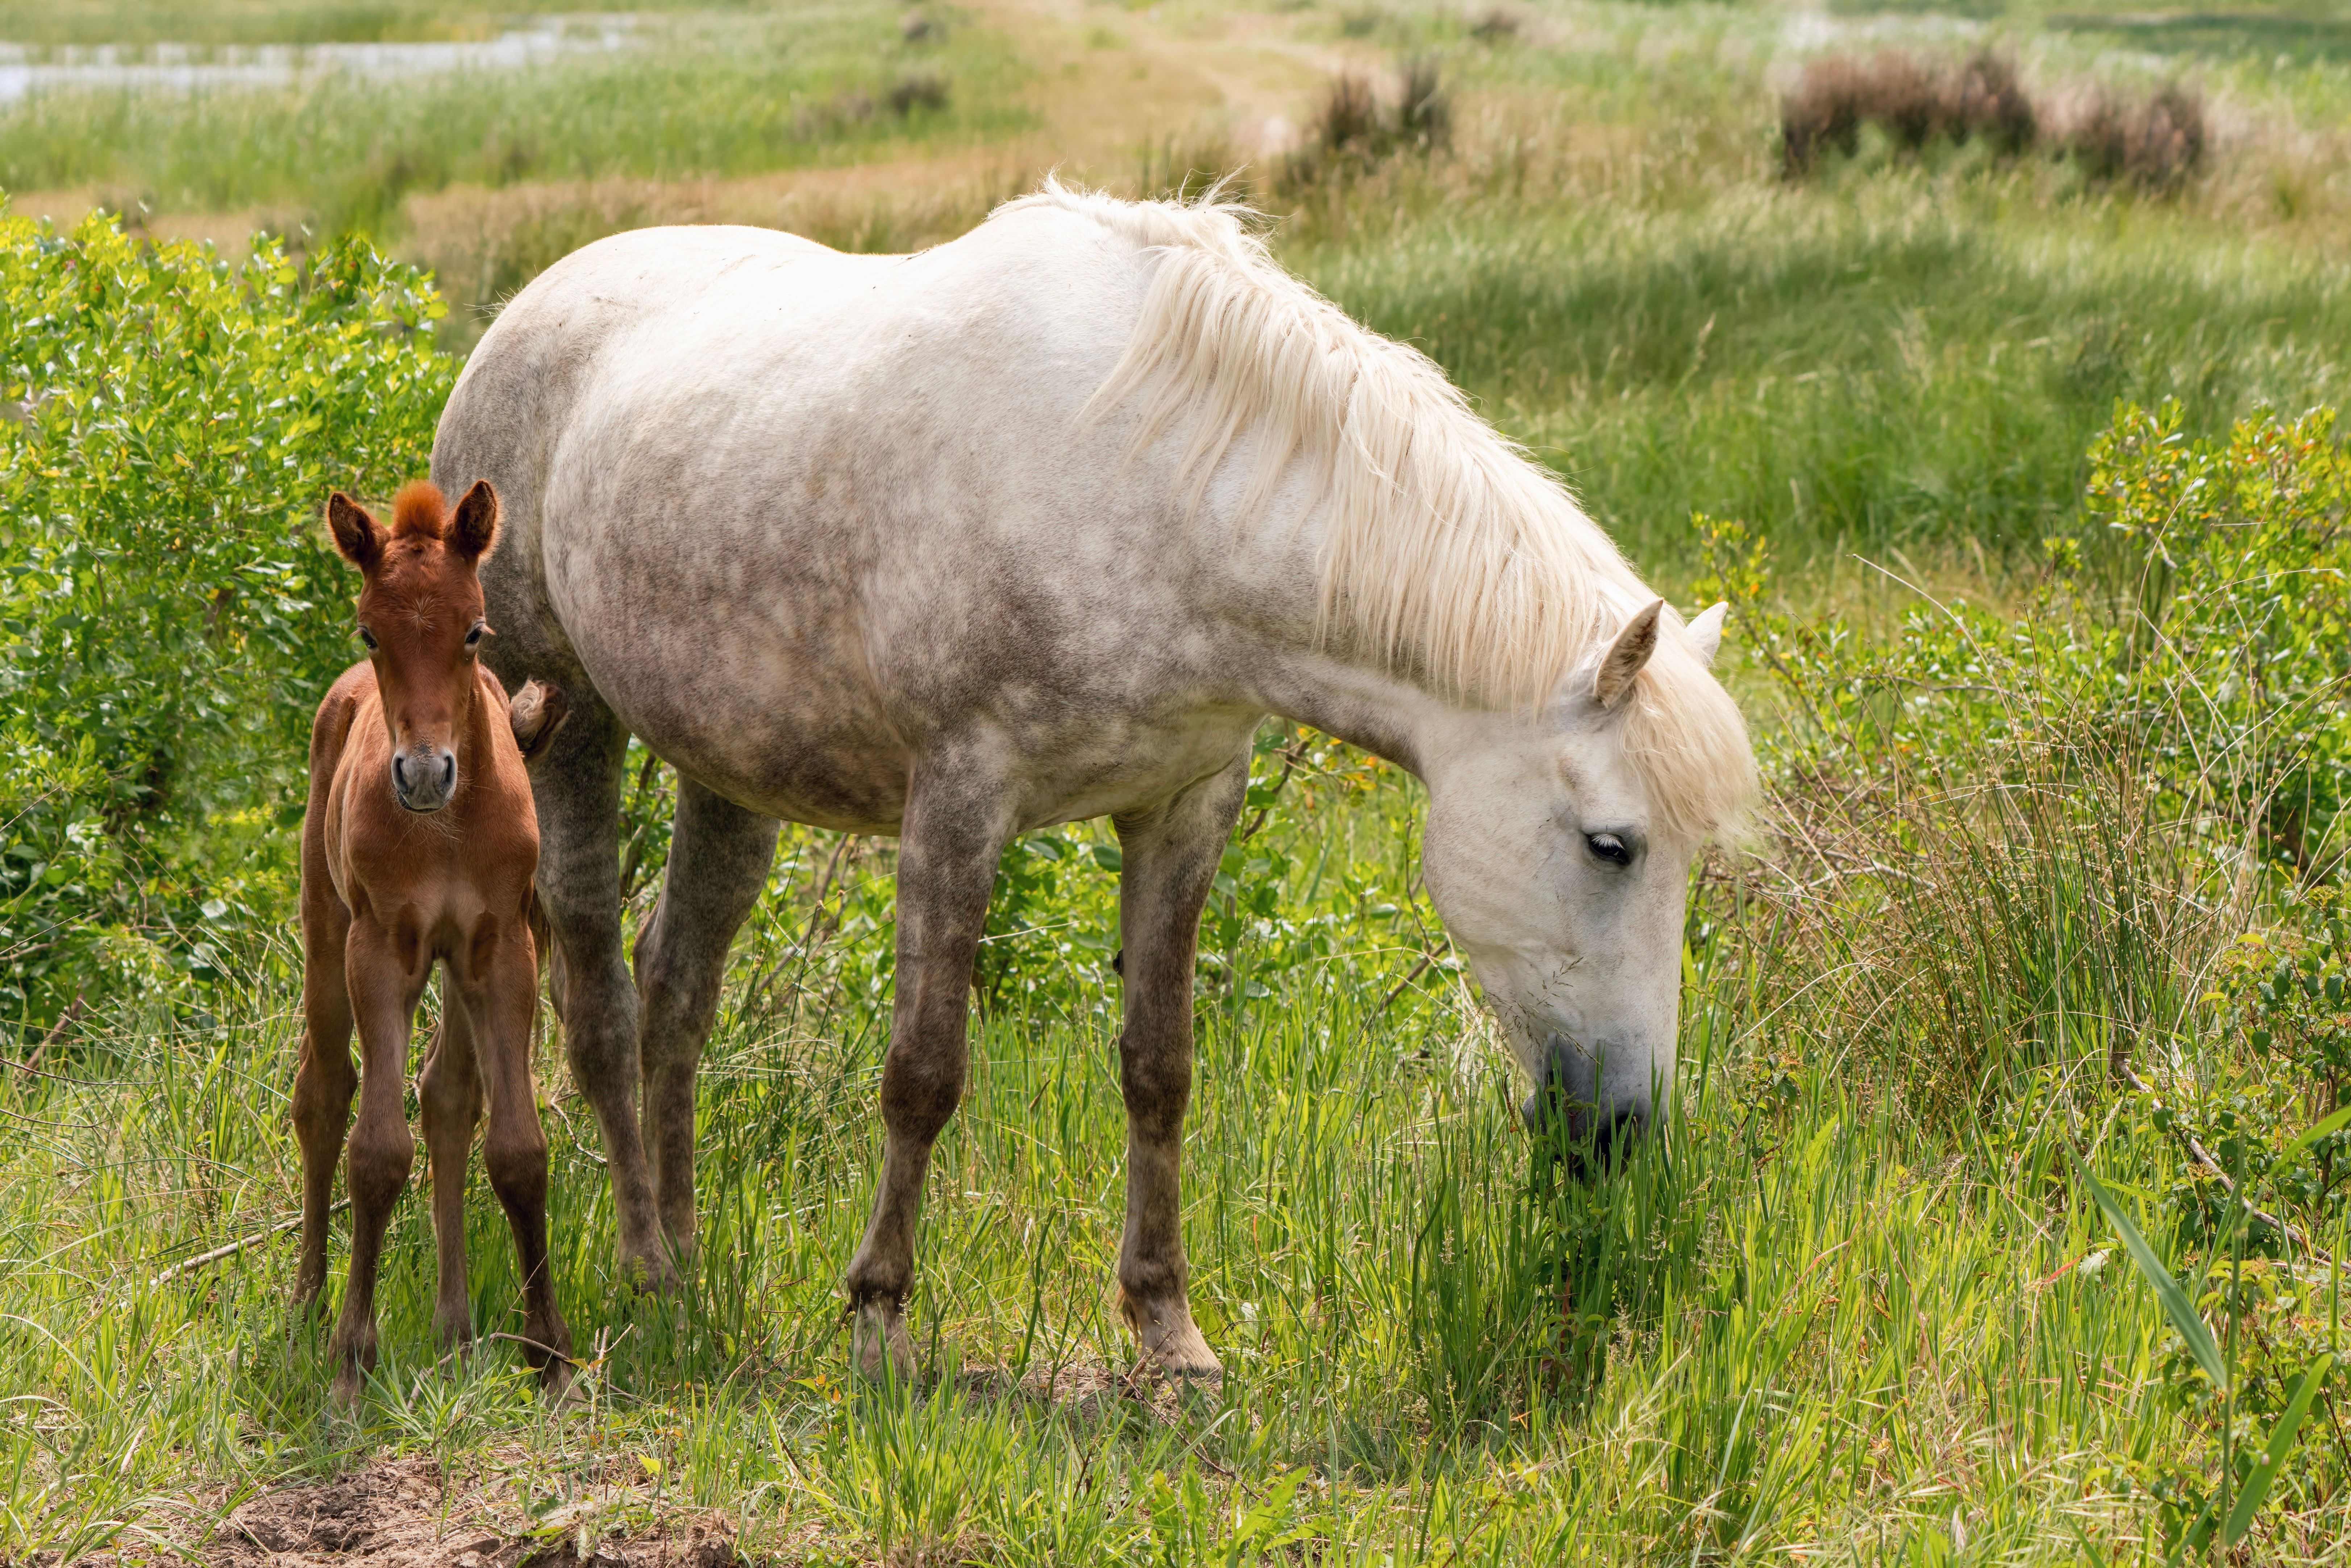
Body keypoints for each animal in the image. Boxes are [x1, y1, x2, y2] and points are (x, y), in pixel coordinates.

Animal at [291, 479, 575, 1403]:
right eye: (370, 630)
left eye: (474, 630)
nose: (422, 772)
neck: (447, 829)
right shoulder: (382, 950)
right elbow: (377, 1152)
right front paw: (352, 1356)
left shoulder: (501, 946)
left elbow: (517, 1147)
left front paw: (548, 1352)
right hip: (326, 933)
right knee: (323, 1095)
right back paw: (307, 1303)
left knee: (447, 1095)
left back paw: (455, 1332)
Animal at [430, 183, 1757, 1384]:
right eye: (1611, 845)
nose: (1624, 1131)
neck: (1151, 491)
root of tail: (522, 315)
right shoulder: (958, 804)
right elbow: (923, 1074)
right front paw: (879, 1318)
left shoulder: (1183, 807)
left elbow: (1158, 1069)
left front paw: (1168, 1331)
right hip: (569, 717)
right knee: (599, 990)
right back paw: (648, 1265)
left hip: (730, 771)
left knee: (678, 987)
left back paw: (691, 1262)